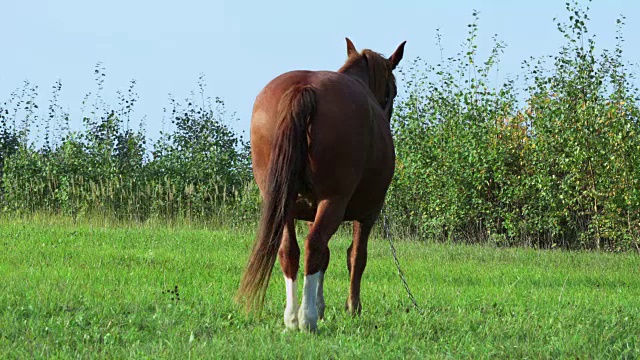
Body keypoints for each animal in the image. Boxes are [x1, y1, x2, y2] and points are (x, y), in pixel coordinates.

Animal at [235, 37, 404, 332]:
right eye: (392, 90)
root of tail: (305, 88)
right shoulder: (368, 214)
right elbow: (356, 256)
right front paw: (352, 308)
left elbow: (325, 255)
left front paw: (321, 304)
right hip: (333, 202)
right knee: (313, 247)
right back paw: (307, 318)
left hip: (283, 204)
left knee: (290, 250)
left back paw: (293, 316)